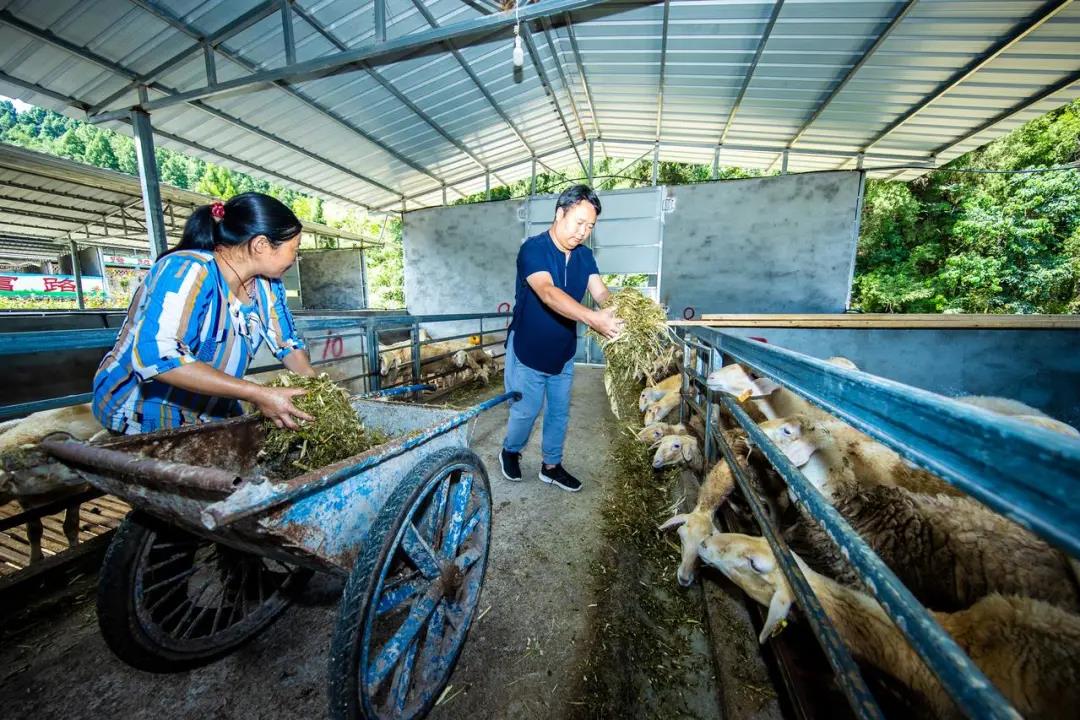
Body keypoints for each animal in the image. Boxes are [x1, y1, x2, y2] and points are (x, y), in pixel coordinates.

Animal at [1, 405, 105, 561]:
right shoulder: (24, 501)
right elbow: (34, 531)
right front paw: (35, 560)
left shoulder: (76, 492)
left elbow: (71, 526)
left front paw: (74, 550)